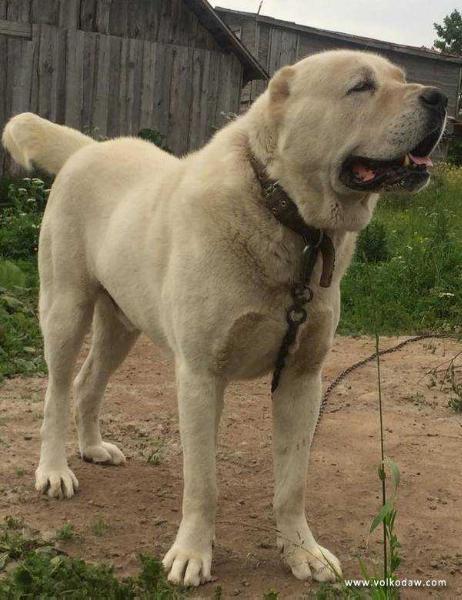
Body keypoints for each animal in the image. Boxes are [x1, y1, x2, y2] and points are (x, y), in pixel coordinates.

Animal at [0, 50, 448, 584]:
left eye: (402, 78)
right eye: (361, 86)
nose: (441, 97)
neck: (284, 212)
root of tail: (89, 149)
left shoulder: (303, 380)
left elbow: (292, 484)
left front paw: (302, 552)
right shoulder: (200, 376)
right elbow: (203, 481)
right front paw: (191, 555)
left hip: (122, 325)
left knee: (89, 383)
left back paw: (93, 448)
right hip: (65, 309)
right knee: (57, 392)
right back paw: (54, 471)